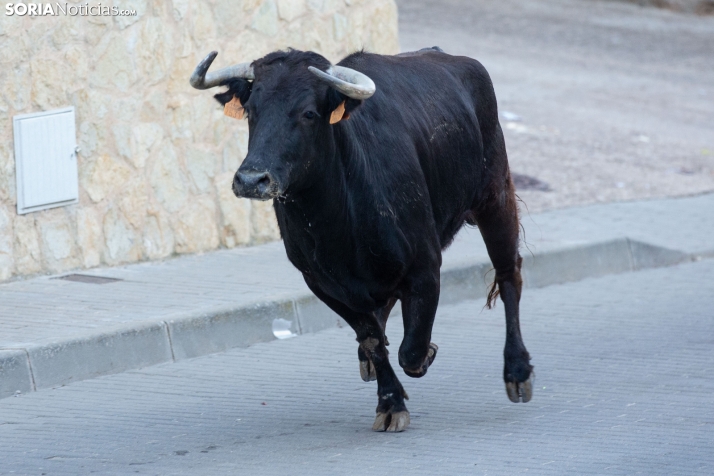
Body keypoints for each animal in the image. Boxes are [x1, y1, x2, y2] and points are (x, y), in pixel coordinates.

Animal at [189, 47, 528, 432]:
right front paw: (390, 402)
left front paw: (421, 359)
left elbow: (411, 351)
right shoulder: (321, 283)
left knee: (509, 274)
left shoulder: (425, 268)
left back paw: (517, 371)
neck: (337, 221)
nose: (251, 179)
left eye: (308, 112)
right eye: (251, 110)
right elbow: (371, 338)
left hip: (495, 195)